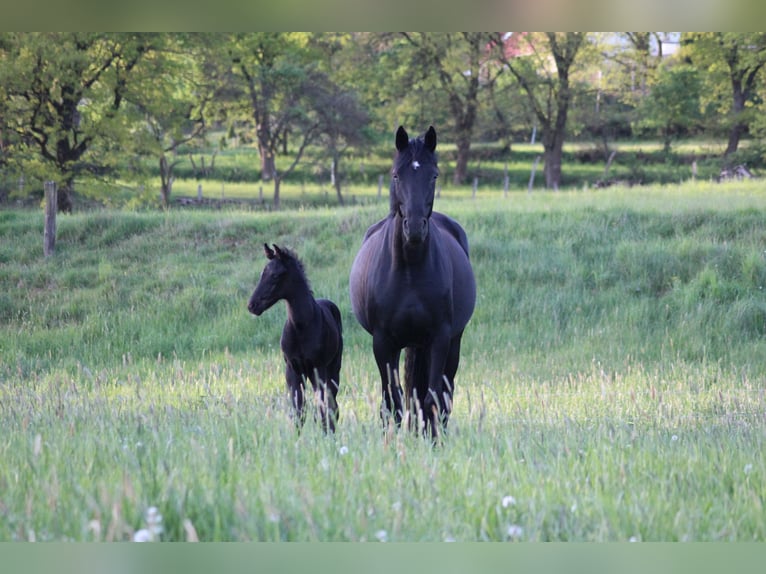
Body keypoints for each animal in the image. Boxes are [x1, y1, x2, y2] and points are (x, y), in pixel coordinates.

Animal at [249, 243, 344, 432]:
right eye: (262, 273)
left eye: (275, 275)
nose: (252, 305)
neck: (301, 328)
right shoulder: (292, 369)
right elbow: (298, 411)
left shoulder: (318, 368)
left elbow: (322, 408)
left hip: (333, 369)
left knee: (332, 406)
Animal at [352, 127, 476, 440]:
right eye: (396, 175)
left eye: (434, 175)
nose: (416, 228)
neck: (409, 270)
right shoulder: (383, 342)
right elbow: (391, 401)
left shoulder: (440, 338)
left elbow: (431, 398)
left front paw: (431, 441)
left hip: (450, 343)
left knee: (443, 394)